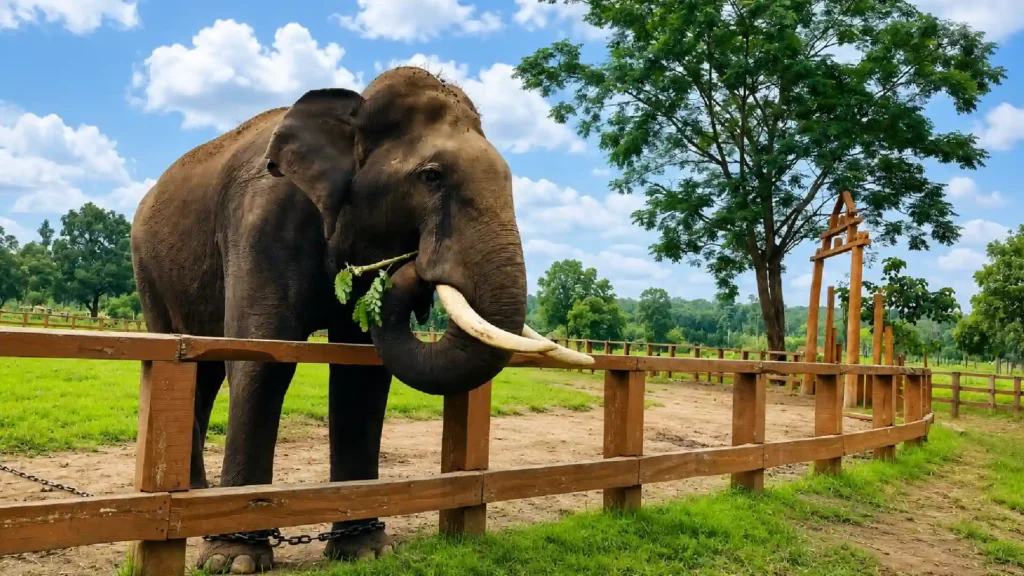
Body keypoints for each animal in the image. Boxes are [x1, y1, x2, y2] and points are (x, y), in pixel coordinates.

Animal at [129, 66, 589, 574]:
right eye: (431, 177)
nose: (411, 269)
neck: (353, 110)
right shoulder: (260, 222)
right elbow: (262, 357)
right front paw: (235, 560)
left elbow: (361, 373)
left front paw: (365, 550)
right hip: (148, 268)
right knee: (188, 355)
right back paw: (193, 500)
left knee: (204, 370)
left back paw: (194, 495)